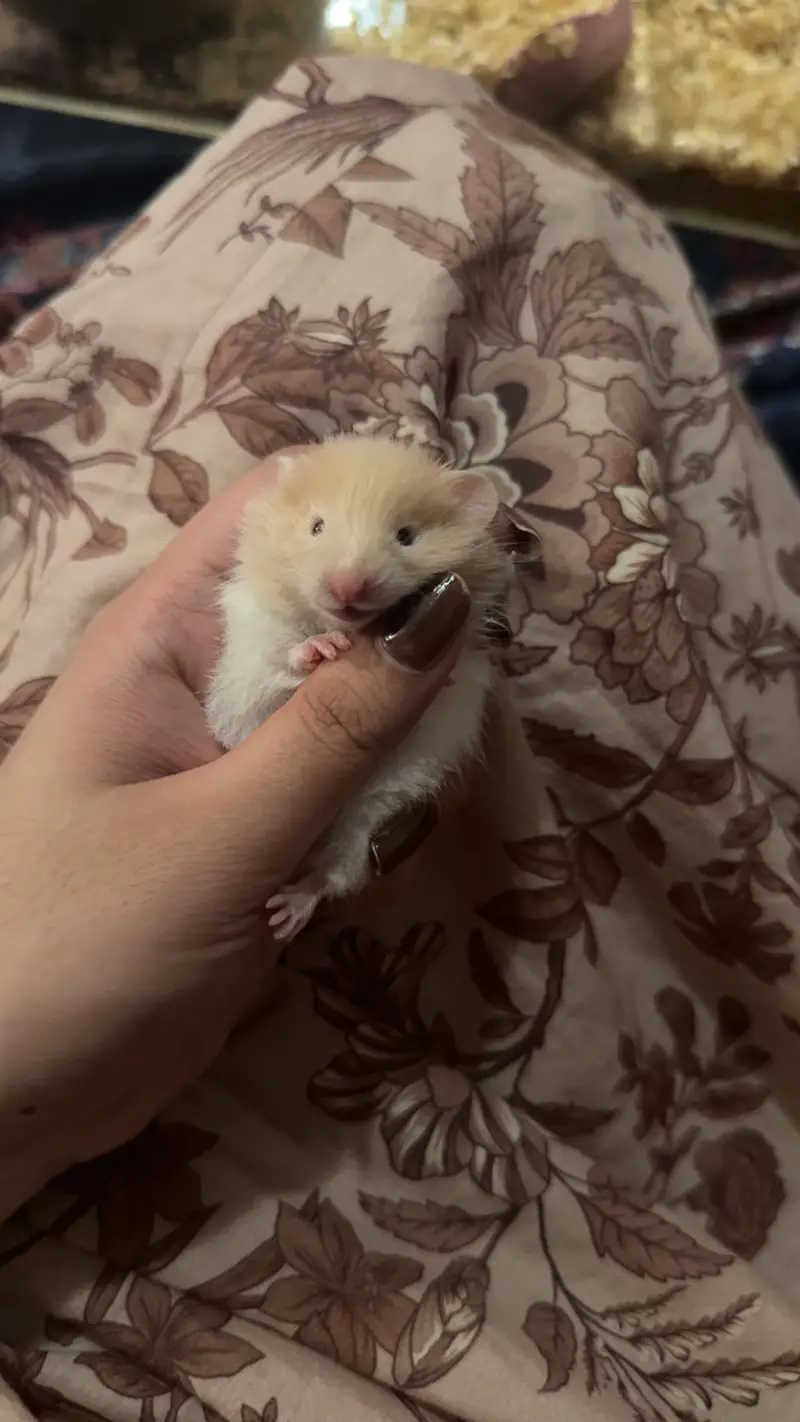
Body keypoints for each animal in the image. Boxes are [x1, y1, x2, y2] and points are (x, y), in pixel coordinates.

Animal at [206, 435, 513, 941]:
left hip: (372, 819)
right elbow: (281, 657)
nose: (347, 587)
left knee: (335, 876)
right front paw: (322, 649)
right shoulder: (250, 656)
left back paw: (286, 913)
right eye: (316, 526)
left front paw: (442, 674)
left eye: (406, 536)